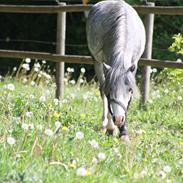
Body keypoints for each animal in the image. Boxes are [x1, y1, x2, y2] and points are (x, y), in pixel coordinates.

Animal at [86, 0, 146, 141]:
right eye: (110, 90)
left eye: (130, 90)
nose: (118, 119)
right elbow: (105, 93)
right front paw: (111, 128)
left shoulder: (133, 65)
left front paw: (124, 133)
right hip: (96, 61)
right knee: (101, 90)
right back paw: (106, 124)